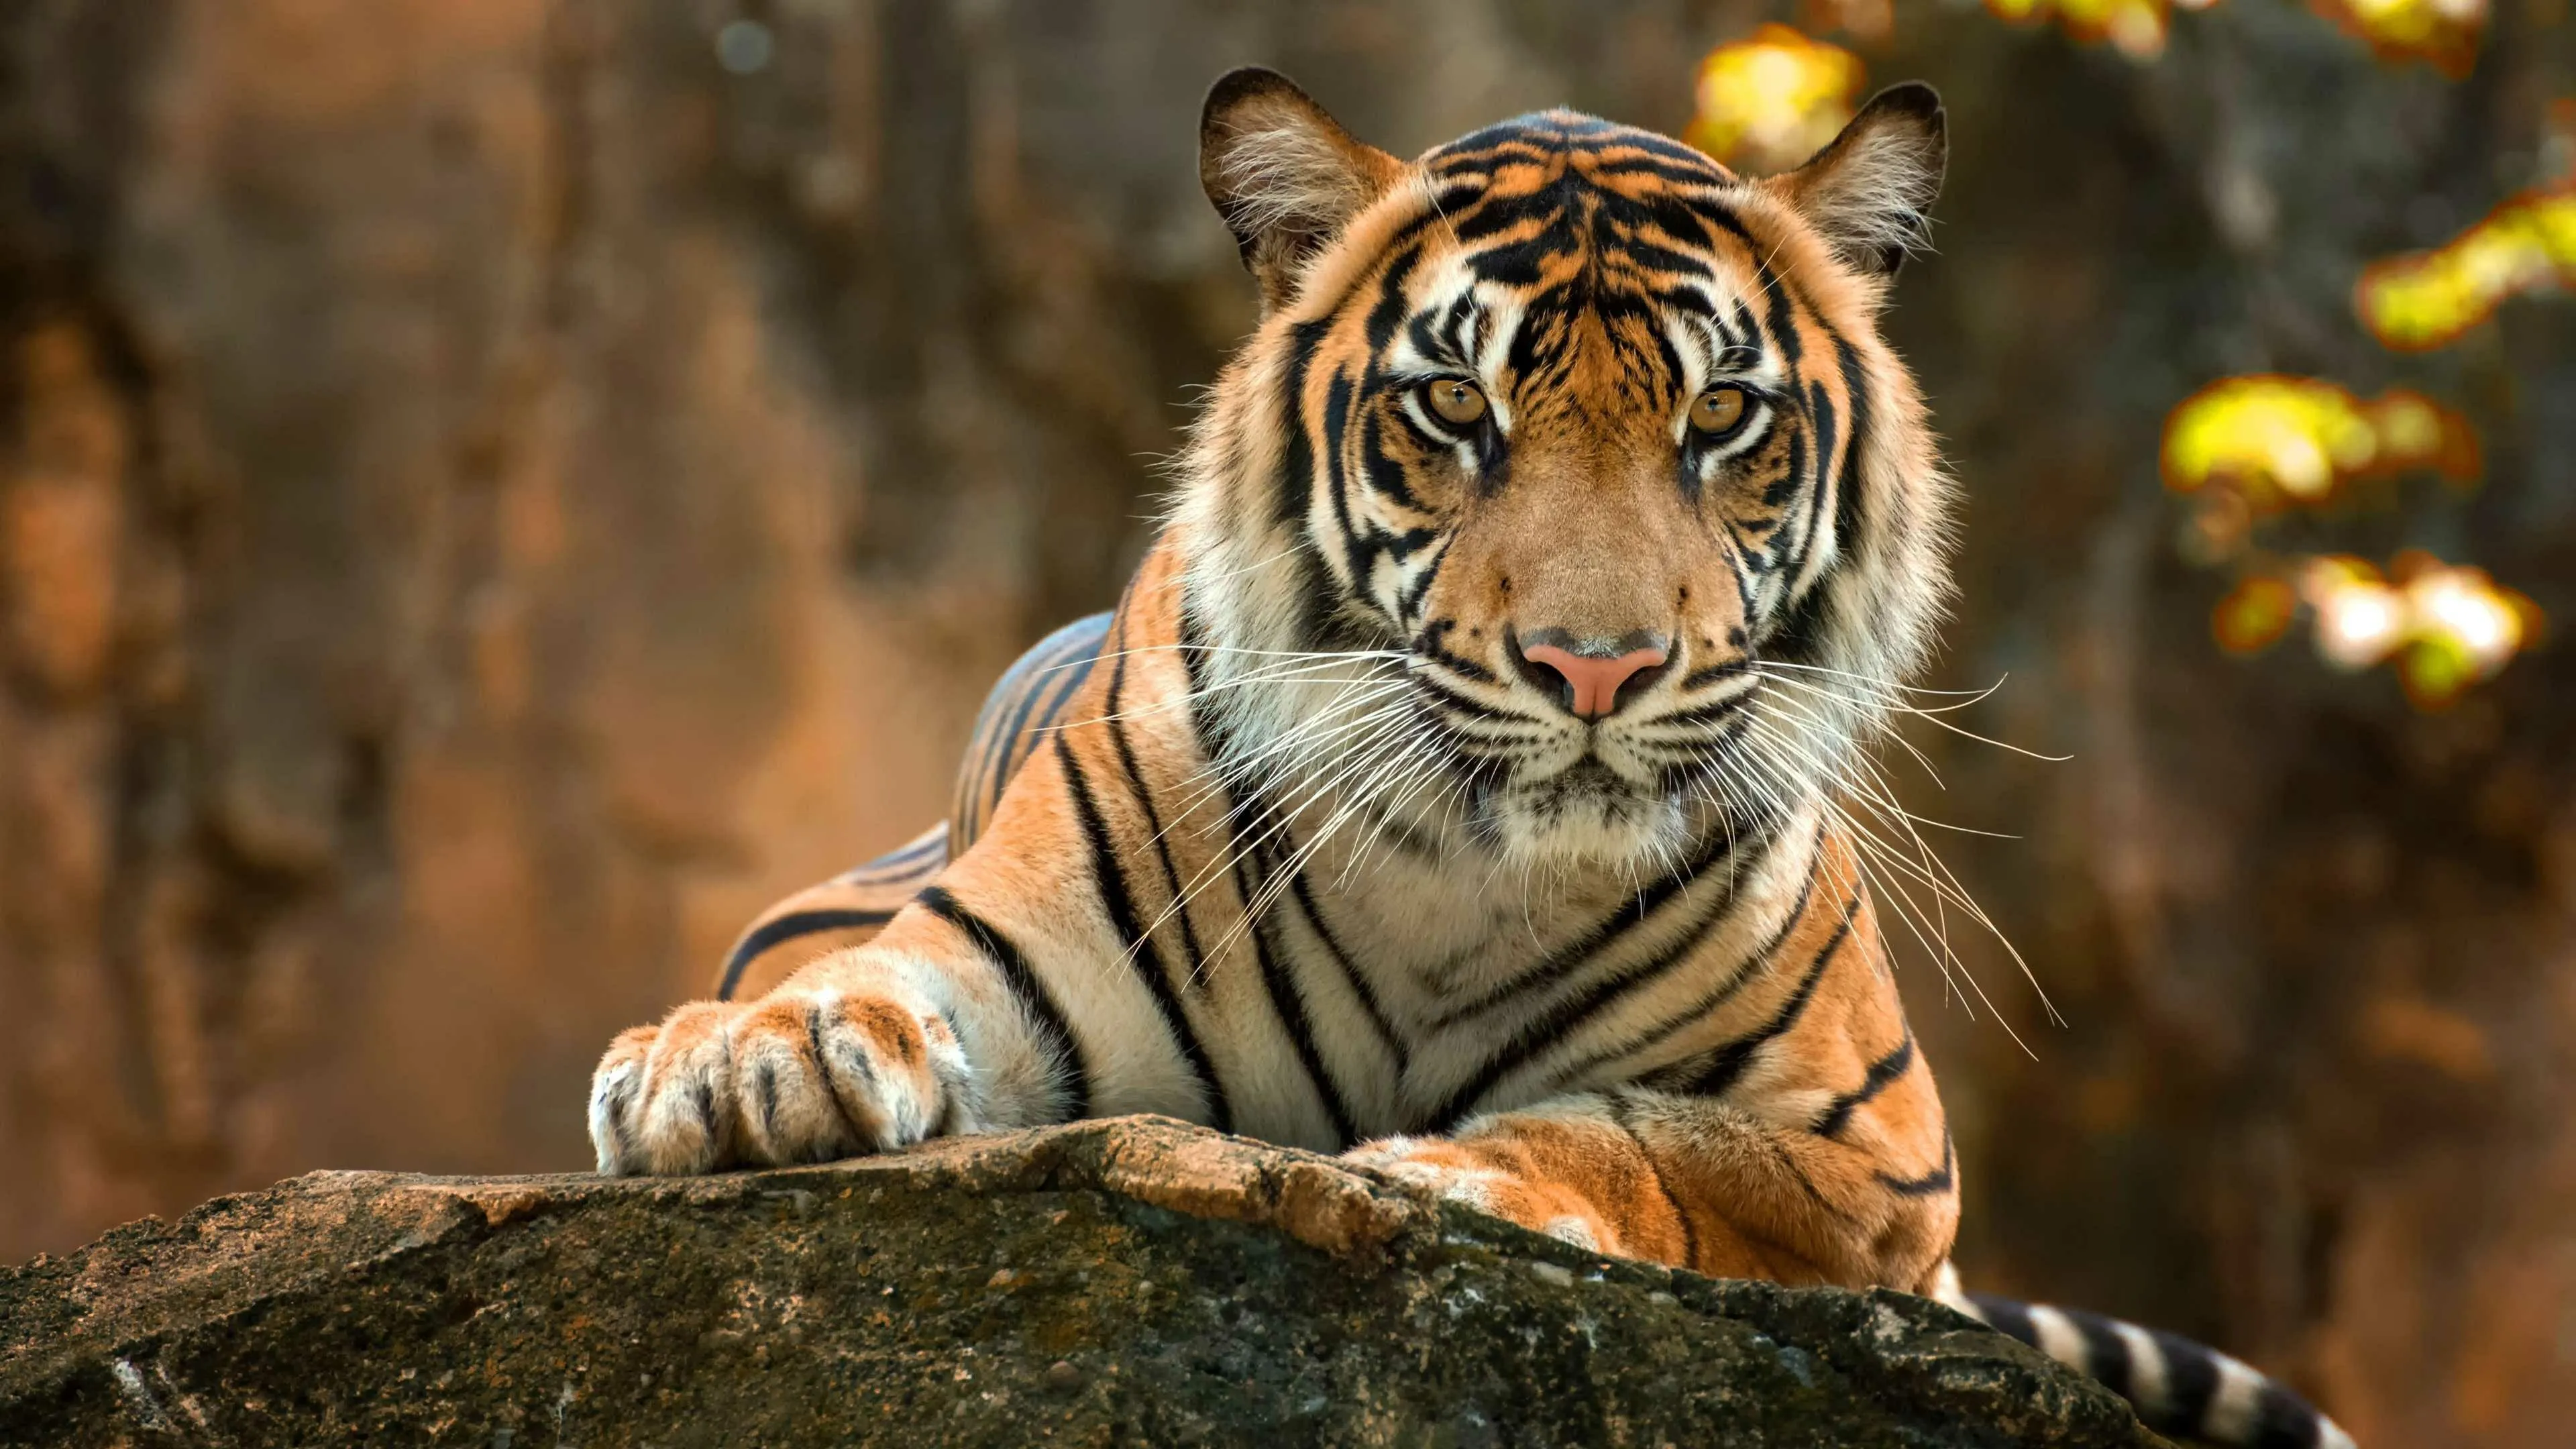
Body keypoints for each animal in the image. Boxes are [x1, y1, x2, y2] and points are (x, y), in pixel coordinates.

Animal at [586, 67, 2356, 1449]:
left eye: (1722, 418)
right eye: (1452, 407)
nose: (1597, 665)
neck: (1461, 876)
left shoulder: (1876, 1154)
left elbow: (1646, 1138)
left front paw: (1451, 1181)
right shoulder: (995, 949)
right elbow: (860, 990)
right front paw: (738, 1064)